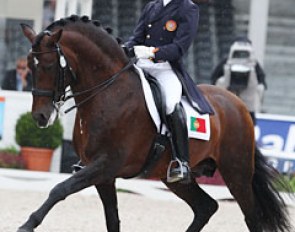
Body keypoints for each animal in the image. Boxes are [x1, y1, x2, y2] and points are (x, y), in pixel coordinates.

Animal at [19, 15, 292, 232]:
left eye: (49, 65)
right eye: (30, 63)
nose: (40, 117)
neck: (108, 93)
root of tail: (238, 104)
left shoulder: (105, 165)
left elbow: (60, 189)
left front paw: (27, 225)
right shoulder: (102, 175)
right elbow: (112, 220)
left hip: (236, 172)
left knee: (251, 217)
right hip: (173, 176)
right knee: (206, 207)